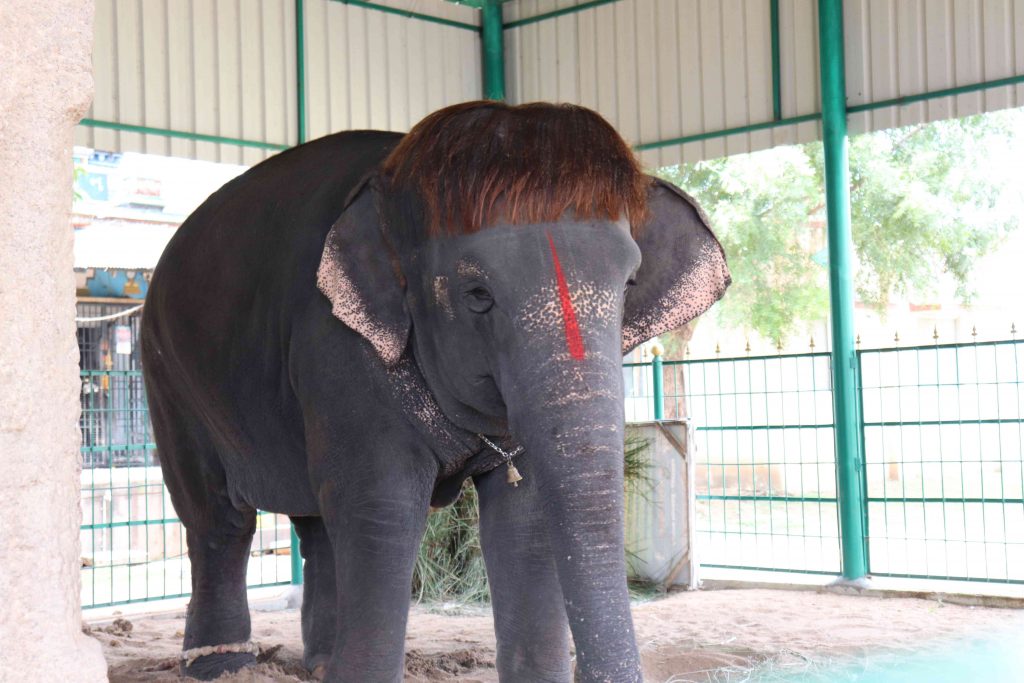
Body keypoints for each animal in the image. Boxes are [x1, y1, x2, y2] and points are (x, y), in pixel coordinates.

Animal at [142, 101, 729, 683]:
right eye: (477, 295)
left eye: (629, 285)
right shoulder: (337, 347)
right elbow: (381, 505)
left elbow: (525, 516)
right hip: (168, 378)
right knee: (218, 520)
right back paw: (220, 667)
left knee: (317, 525)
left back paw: (321, 664)